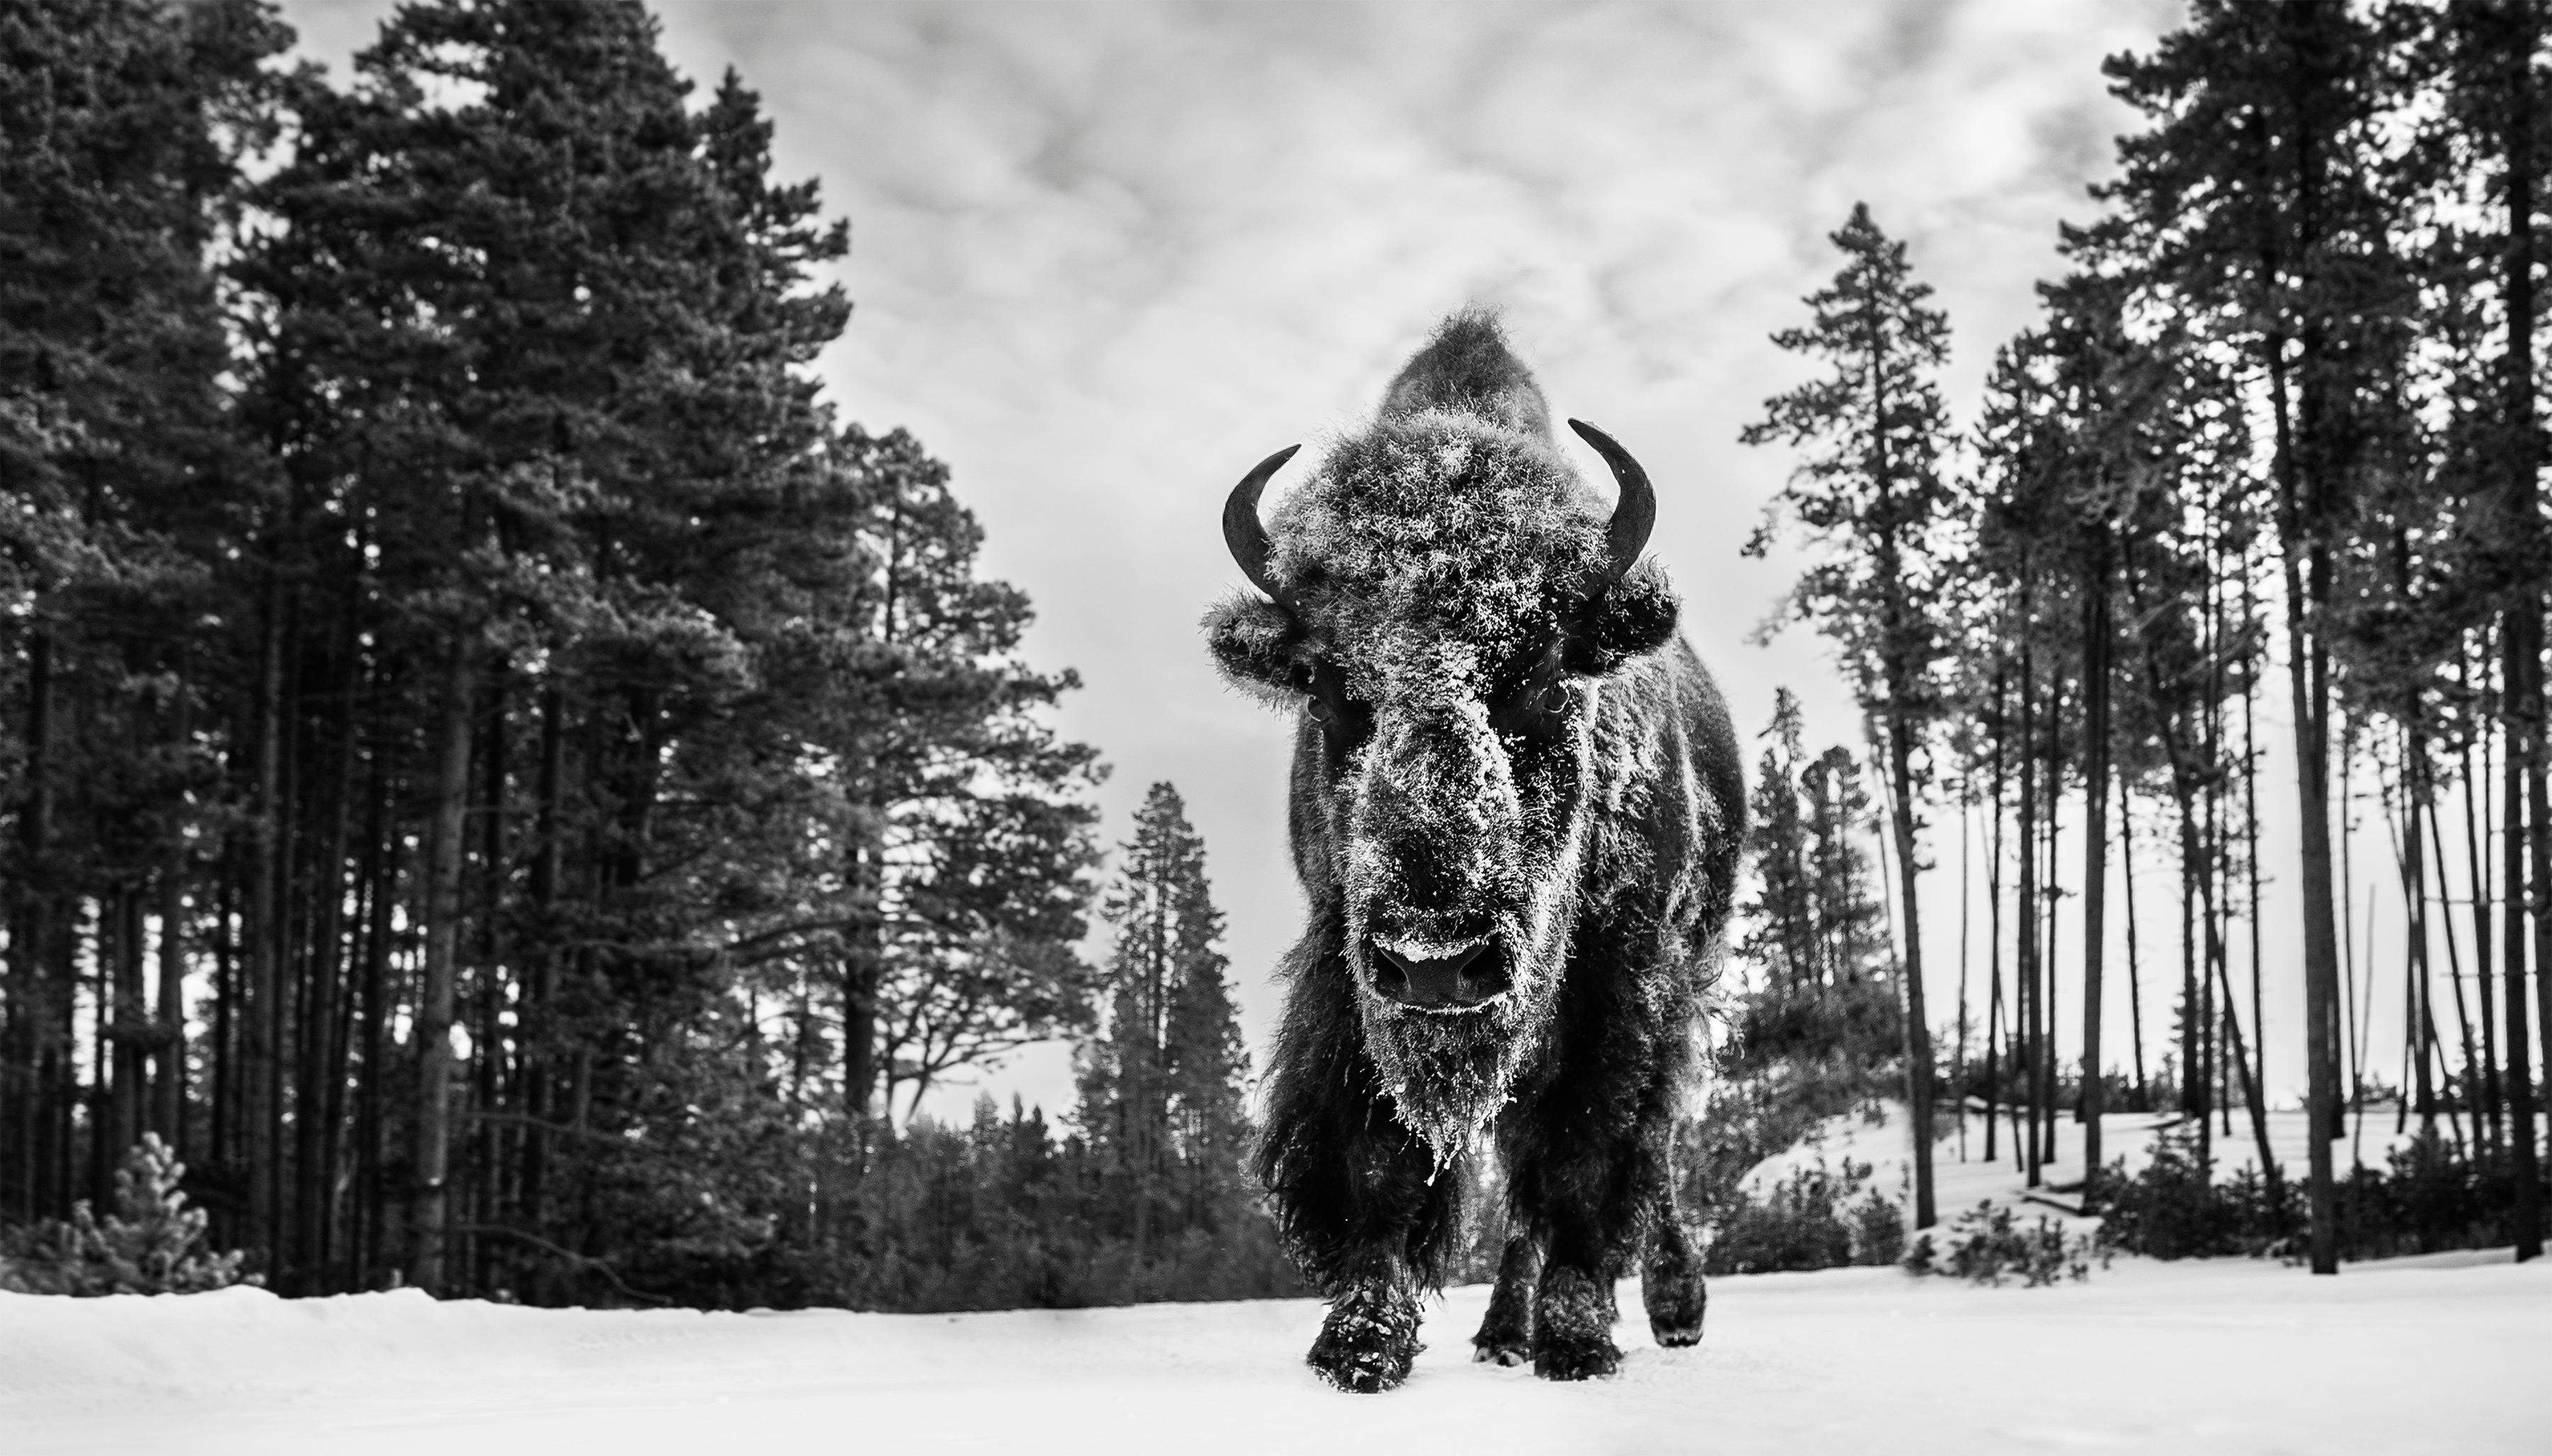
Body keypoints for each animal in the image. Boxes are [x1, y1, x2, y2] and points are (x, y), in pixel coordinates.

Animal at [1204, 310, 1745, 1387]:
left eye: (1545, 672)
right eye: (1326, 686)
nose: (1436, 959)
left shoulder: (1619, 980)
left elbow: (1587, 1157)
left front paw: (1578, 1342)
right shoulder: (1351, 971)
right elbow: (1380, 1159)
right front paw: (1359, 1344)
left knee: (1642, 1151)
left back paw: (1666, 1313)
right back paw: (1501, 1332)